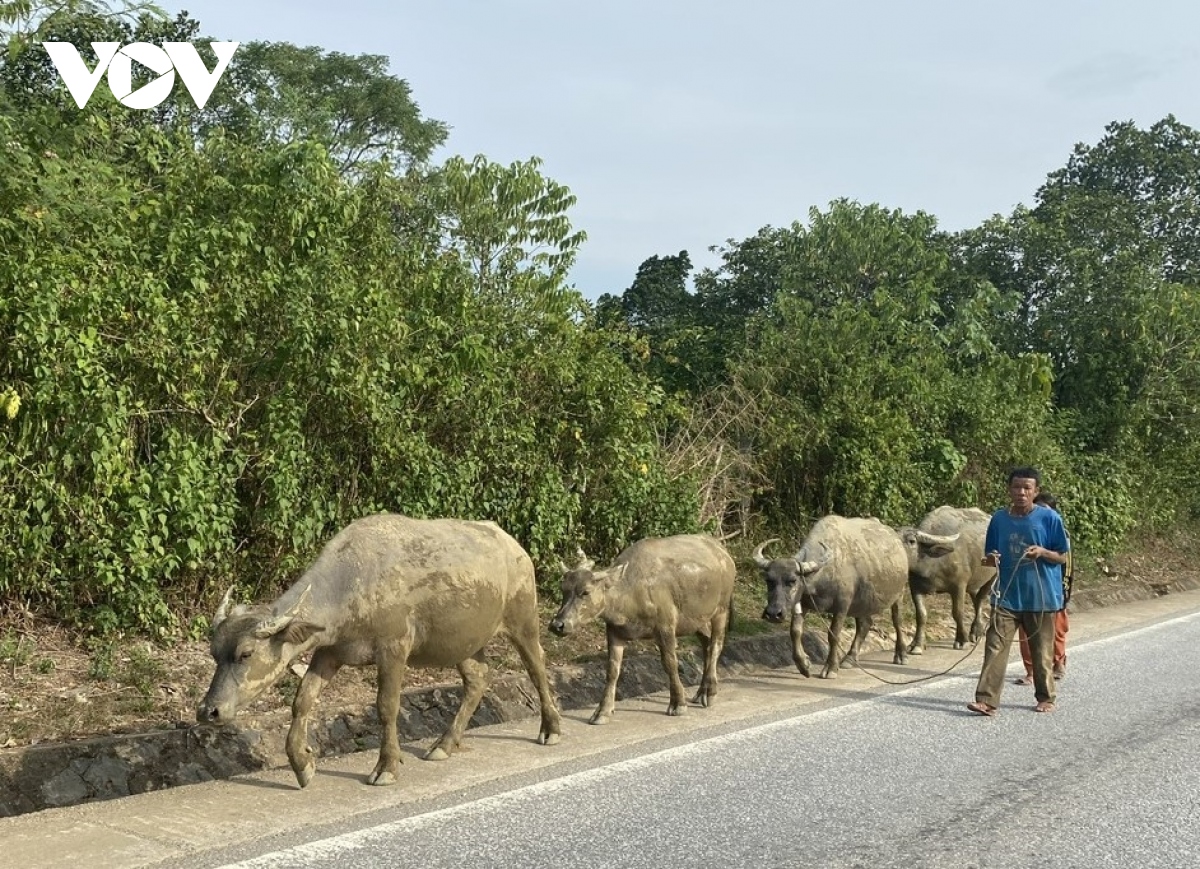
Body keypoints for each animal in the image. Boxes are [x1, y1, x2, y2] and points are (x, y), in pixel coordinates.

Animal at [200, 513, 561, 792]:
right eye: (215, 652)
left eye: (246, 653)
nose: (208, 711)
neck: (353, 584)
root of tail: (514, 547)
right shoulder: (329, 652)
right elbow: (302, 700)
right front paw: (303, 765)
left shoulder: (394, 649)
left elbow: (386, 706)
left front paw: (386, 767)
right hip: (466, 642)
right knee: (478, 679)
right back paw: (443, 745)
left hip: (524, 621)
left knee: (537, 667)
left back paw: (551, 729)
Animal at [549, 535, 734, 724]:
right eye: (564, 589)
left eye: (585, 592)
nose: (557, 625)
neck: (631, 594)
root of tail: (723, 552)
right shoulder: (614, 632)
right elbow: (612, 670)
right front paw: (602, 712)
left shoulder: (666, 628)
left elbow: (670, 663)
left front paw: (678, 704)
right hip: (697, 620)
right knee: (706, 644)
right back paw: (700, 692)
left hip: (721, 610)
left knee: (716, 645)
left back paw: (709, 692)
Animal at [748, 516, 955, 676]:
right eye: (769, 580)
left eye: (792, 581)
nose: (773, 613)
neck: (823, 571)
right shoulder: (803, 603)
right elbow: (795, 631)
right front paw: (804, 665)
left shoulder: (842, 605)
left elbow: (834, 635)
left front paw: (830, 668)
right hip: (863, 601)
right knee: (865, 624)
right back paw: (849, 658)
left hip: (898, 594)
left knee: (897, 621)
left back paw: (901, 655)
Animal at [902, 501, 998, 652]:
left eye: (911, 541)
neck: (933, 562)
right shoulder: (915, 587)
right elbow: (921, 615)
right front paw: (916, 644)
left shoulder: (959, 585)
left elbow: (958, 612)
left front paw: (962, 640)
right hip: (974, 582)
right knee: (976, 599)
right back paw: (976, 630)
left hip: (992, 577)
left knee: (981, 598)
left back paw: (976, 632)